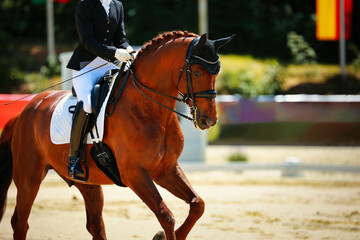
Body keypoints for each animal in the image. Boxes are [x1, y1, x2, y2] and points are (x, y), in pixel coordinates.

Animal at [0, 31, 233, 239]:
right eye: (197, 73)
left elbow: (198, 205)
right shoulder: (135, 174)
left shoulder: (165, 169)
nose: (208, 120)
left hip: (88, 183)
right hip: (29, 177)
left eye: (217, 73)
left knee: (95, 226)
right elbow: (166, 216)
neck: (149, 107)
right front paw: (161, 235)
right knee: (20, 222)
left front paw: (163, 235)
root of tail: (26, 110)